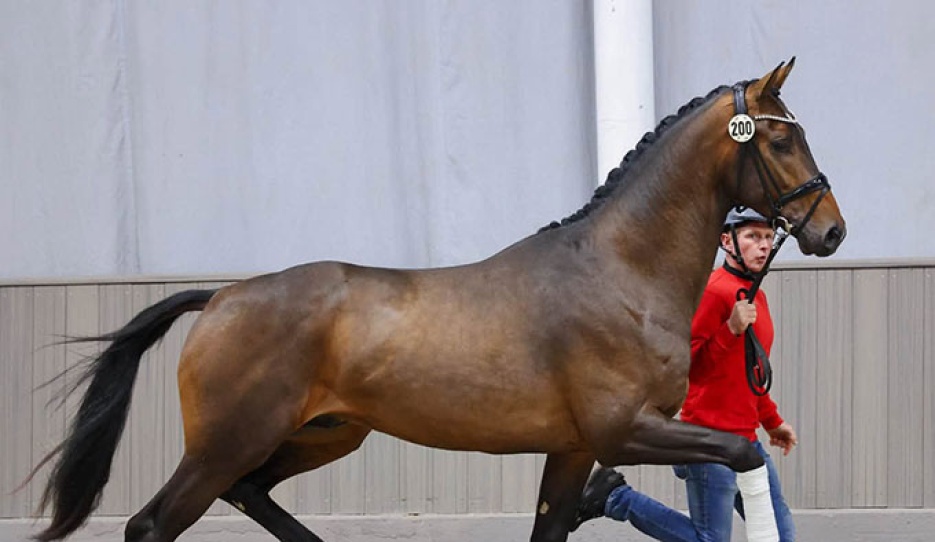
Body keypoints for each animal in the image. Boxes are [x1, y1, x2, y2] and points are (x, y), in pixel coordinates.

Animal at [28, 58, 845, 542]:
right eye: (779, 143)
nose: (831, 229)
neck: (619, 272)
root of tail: (223, 297)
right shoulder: (624, 431)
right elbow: (743, 450)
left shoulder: (574, 447)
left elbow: (551, 529)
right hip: (226, 443)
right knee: (153, 524)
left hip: (323, 434)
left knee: (251, 495)